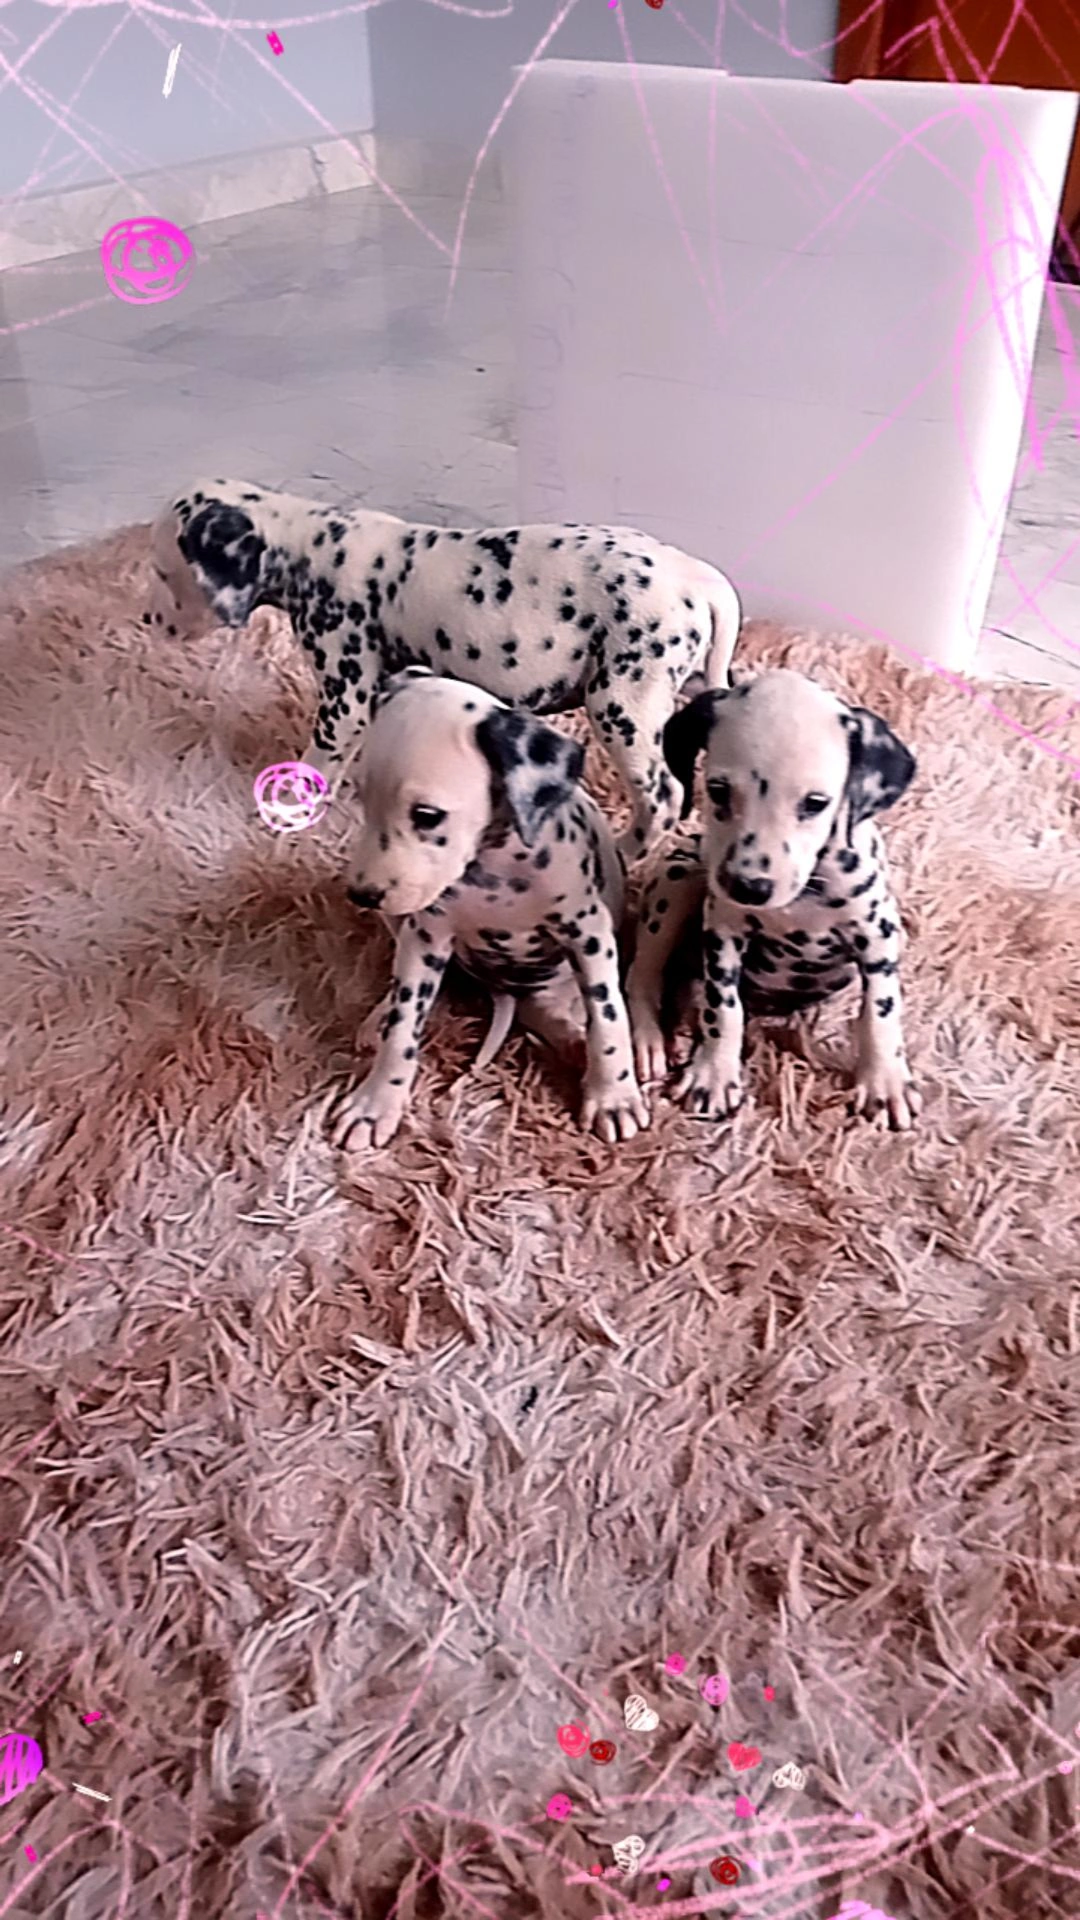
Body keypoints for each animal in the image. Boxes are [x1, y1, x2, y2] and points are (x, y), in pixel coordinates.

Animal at [145, 480, 741, 859]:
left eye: (165, 573)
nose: (149, 619)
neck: (311, 547)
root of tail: (695, 575)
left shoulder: (345, 695)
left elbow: (317, 763)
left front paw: (288, 812)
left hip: (623, 704)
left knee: (662, 796)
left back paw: (626, 849)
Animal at [325, 668, 650, 1150]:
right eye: (362, 798)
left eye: (427, 815)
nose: (362, 894)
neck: (494, 871)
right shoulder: (426, 938)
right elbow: (404, 1027)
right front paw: (375, 1103)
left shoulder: (588, 934)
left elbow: (607, 1016)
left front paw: (614, 1096)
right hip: (402, 924)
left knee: (549, 1009)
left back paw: (575, 1043)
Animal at [626, 668, 920, 1130]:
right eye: (718, 789)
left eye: (815, 802)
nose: (749, 886)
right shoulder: (724, 930)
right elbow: (722, 1007)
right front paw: (713, 1074)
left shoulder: (878, 933)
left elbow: (881, 1008)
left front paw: (885, 1081)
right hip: (677, 882)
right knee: (642, 975)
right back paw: (650, 1040)